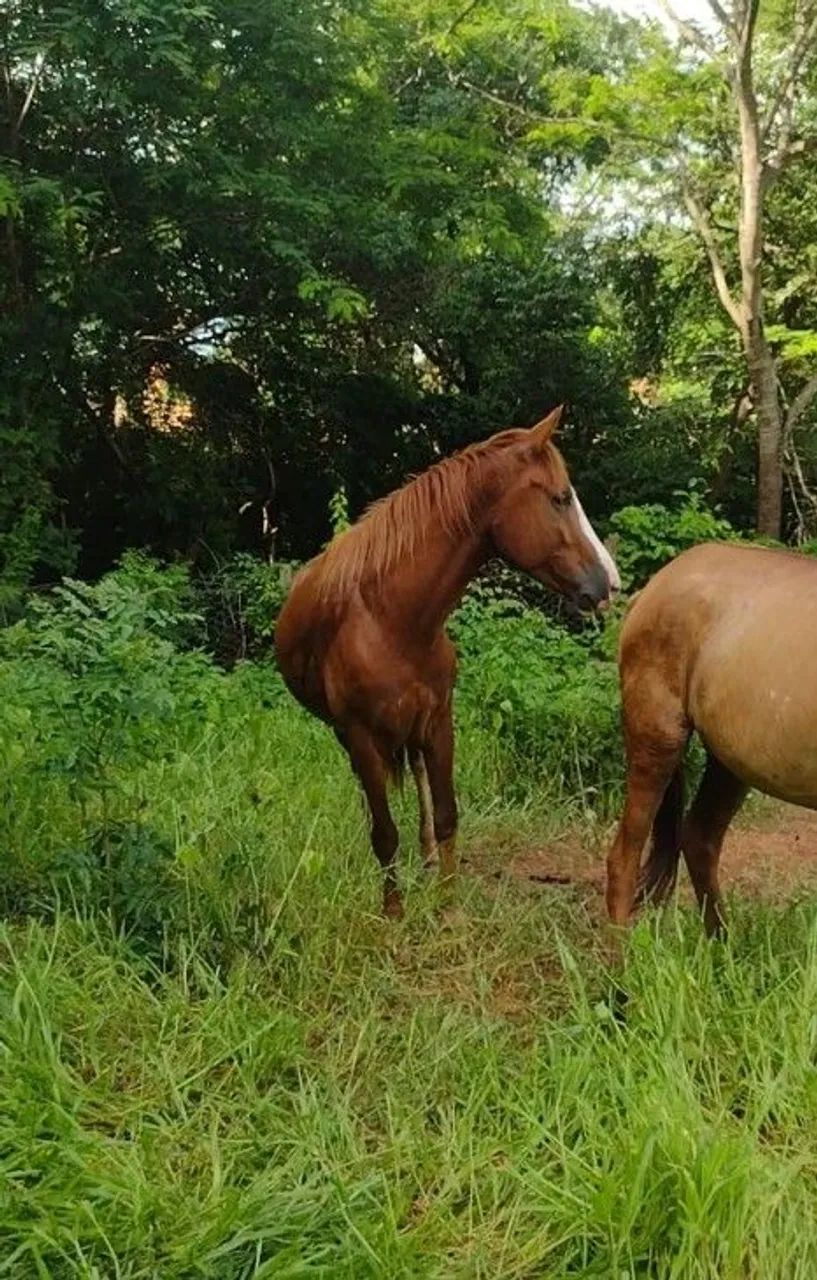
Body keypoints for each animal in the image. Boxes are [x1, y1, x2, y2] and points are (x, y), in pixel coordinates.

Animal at [275, 406, 620, 918]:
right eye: (560, 499)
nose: (609, 584)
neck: (392, 621)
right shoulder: (361, 735)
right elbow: (384, 833)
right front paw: (394, 912)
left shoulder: (438, 722)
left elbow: (445, 815)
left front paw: (448, 904)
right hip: (348, 737)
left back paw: (428, 859)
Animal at [607, 540, 817, 936]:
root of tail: (651, 588)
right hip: (657, 738)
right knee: (624, 855)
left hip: (730, 762)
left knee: (699, 838)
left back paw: (722, 943)